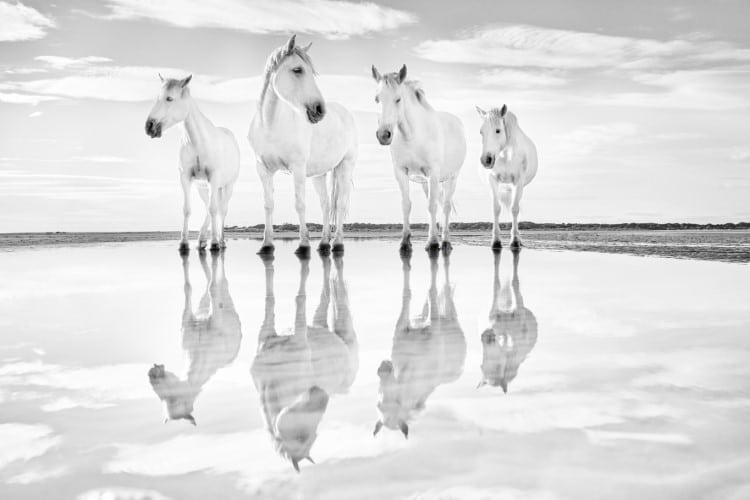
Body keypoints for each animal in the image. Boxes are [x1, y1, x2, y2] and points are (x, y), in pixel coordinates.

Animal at [145, 73, 239, 254]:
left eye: (169, 98)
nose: (149, 126)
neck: (198, 142)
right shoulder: (186, 178)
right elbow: (188, 210)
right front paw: (184, 243)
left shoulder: (214, 178)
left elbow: (214, 209)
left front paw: (214, 243)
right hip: (203, 187)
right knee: (209, 209)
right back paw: (202, 239)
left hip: (227, 186)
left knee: (221, 210)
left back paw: (221, 241)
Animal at [248, 34, 360, 258]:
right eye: (297, 69)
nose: (320, 110)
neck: (270, 125)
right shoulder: (263, 169)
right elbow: (268, 205)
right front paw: (266, 245)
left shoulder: (297, 168)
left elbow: (299, 204)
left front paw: (303, 245)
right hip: (319, 174)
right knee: (326, 205)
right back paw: (324, 243)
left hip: (345, 167)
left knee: (340, 204)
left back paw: (338, 243)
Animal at [374, 64, 468, 254]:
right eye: (377, 99)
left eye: (398, 99)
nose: (383, 135)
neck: (412, 136)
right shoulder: (401, 172)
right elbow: (407, 205)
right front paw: (405, 242)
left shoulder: (433, 172)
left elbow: (432, 206)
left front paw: (432, 243)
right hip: (426, 181)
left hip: (452, 177)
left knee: (446, 206)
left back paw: (445, 242)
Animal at [478, 104, 536, 250]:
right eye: (481, 132)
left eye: (498, 130)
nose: (486, 160)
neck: (505, 156)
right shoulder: (493, 180)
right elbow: (496, 209)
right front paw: (496, 241)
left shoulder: (518, 182)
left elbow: (514, 210)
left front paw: (514, 241)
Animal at [478, 249, 536, 390]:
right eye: (482, 366)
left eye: (499, 368)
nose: (485, 335)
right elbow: (496, 284)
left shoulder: (520, 314)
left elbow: (514, 282)